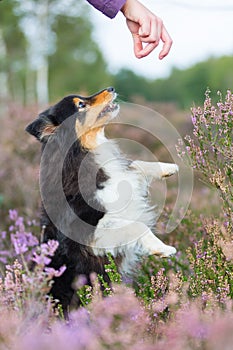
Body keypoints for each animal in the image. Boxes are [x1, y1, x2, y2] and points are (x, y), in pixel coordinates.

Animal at [25, 87, 177, 312]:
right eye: (81, 105)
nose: (111, 88)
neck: (85, 150)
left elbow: (133, 165)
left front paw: (167, 167)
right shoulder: (90, 233)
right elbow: (136, 225)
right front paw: (163, 249)